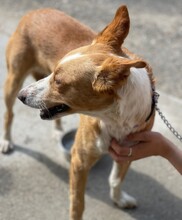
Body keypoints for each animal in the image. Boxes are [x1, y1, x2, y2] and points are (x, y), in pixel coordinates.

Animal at [17, 5, 155, 220]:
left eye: (58, 81)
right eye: (53, 72)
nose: (22, 96)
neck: (114, 120)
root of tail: (39, 9)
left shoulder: (128, 152)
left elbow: (116, 179)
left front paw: (118, 199)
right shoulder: (79, 160)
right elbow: (77, 203)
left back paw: (58, 130)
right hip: (14, 78)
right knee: (8, 115)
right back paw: (6, 140)